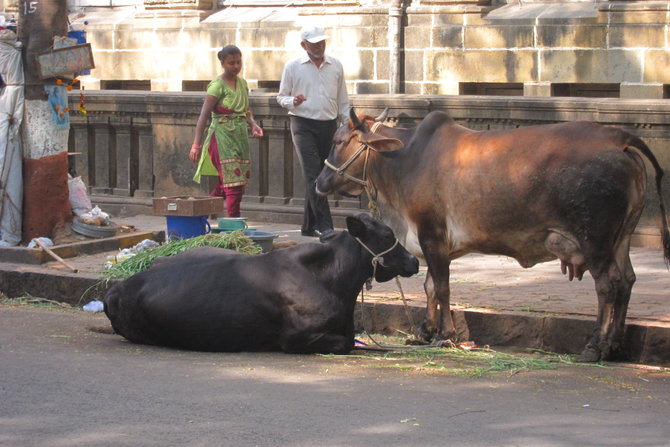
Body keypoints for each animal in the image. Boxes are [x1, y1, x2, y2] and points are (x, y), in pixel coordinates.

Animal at [316, 109, 670, 364]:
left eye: (338, 141)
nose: (319, 182)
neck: (404, 160)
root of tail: (619, 137)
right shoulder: (434, 243)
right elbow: (431, 287)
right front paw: (423, 332)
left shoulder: (432, 235)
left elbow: (440, 287)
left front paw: (444, 334)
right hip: (621, 237)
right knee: (627, 280)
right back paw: (615, 346)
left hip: (594, 239)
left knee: (608, 284)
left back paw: (596, 346)